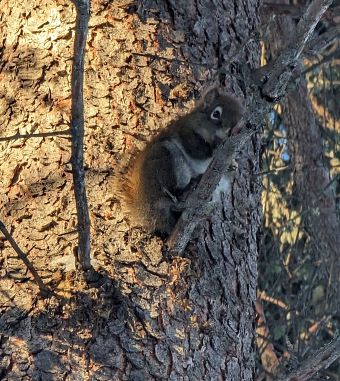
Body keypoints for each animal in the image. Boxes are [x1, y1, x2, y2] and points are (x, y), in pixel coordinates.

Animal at [115, 88, 243, 236]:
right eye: (216, 113)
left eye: (239, 122)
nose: (229, 131)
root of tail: (143, 206)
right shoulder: (185, 132)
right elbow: (196, 150)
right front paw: (215, 148)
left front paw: (233, 165)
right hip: (167, 160)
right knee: (171, 194)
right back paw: (190, 186)